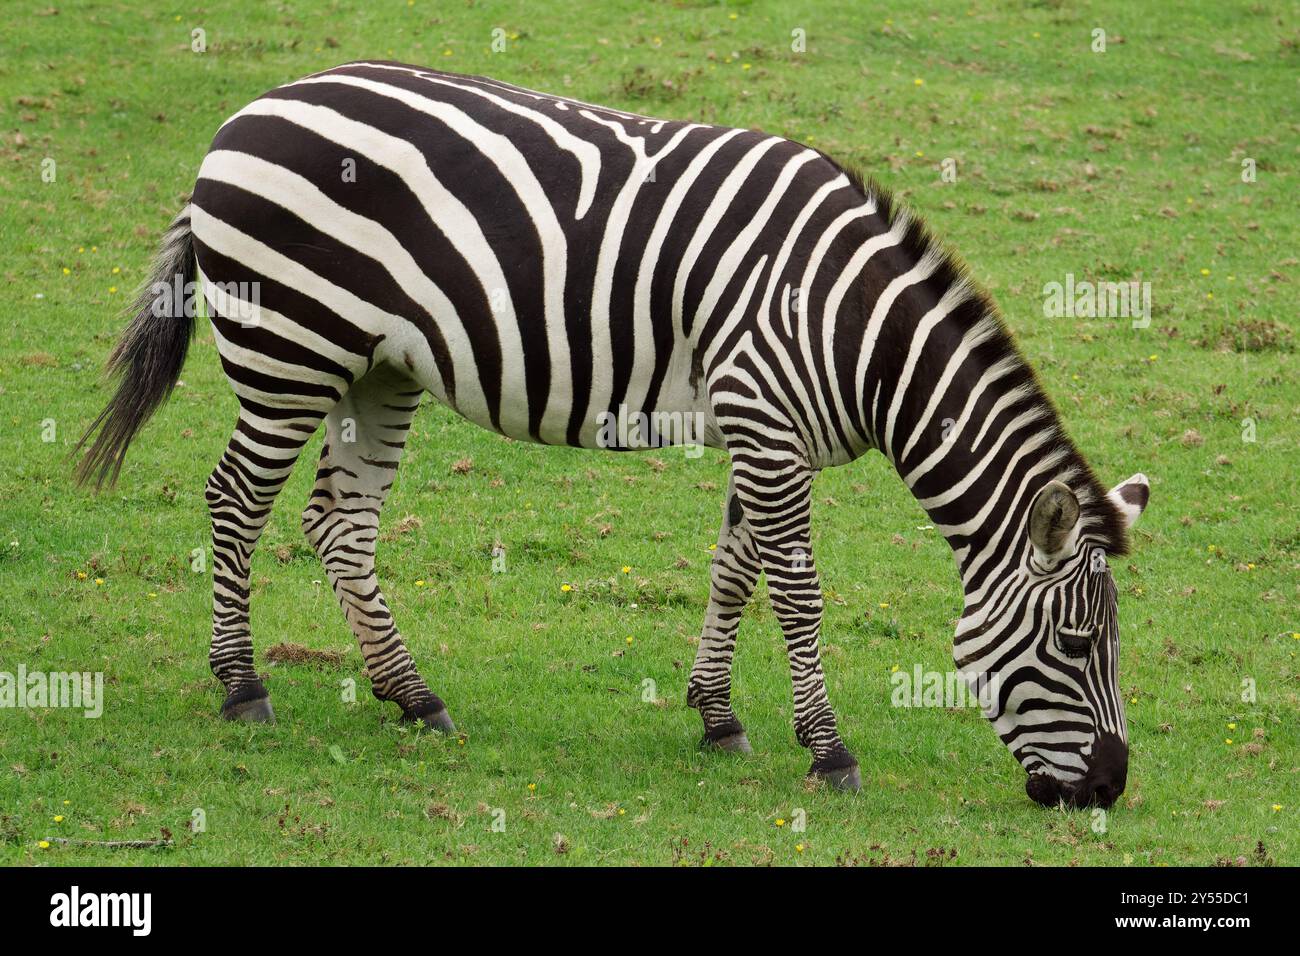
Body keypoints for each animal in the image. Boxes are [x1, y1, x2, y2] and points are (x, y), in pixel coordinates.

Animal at [76, 62, 1149, 806]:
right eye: (1075, 644)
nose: (1108, 789)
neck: (851, 326)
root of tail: (245, 114)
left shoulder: (762, 428)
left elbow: (735, 573)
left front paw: (717, 718)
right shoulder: (767, 421)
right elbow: (798, 593)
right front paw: (830, 750)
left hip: (376, 369)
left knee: (340, 524)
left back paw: (413, 697)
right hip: (289, 349)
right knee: (235, 500)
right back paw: (241, 687)